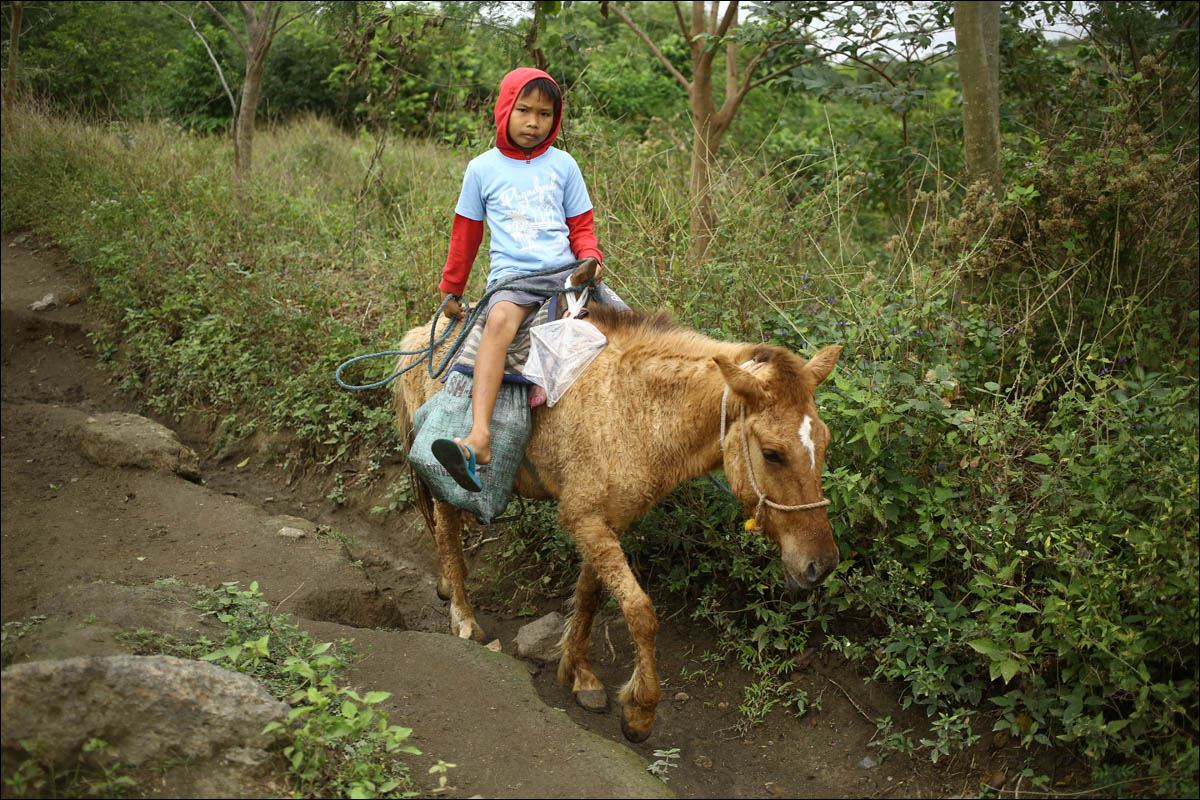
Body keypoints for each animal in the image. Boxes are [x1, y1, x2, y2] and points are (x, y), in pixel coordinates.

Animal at [393, 299, 844, 743]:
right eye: (772, 453)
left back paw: (447, 586)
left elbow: (590, 595)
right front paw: (641, 711)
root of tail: (420, 338)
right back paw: (464, 619)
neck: (632, 409)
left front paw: (580, 674)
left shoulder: (606, 522)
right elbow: (640, 612)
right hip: (444, 473)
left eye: (824, 442)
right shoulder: (584, 518)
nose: (820, 565)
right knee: (448, 529)